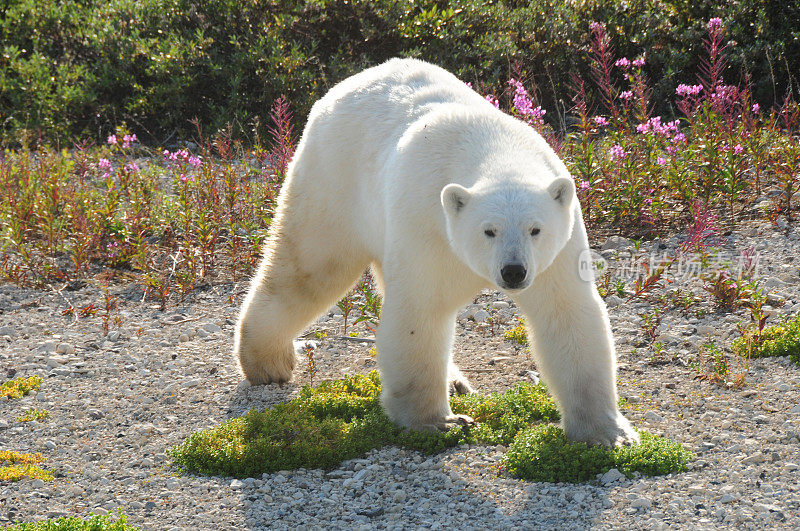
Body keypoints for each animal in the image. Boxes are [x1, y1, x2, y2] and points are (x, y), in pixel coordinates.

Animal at [233, 58, 636, 446]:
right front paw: (439, 422)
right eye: (488, 230)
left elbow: (566, 313)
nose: (513, 272)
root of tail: (342, 87)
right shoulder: (428, 225)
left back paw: (455, 381)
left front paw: (609, 433)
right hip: (335, 183)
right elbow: (420, 312)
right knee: (311, 268)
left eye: (536, 229)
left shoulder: (557, 253)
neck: (490, 144)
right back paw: (268, 361)